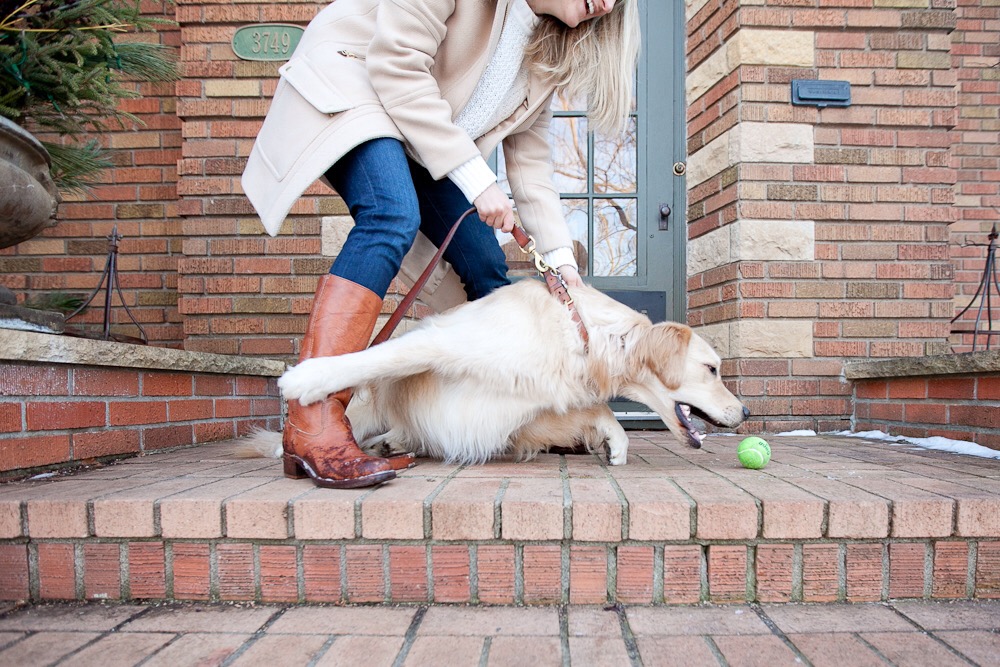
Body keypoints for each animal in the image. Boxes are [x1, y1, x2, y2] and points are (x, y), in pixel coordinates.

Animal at [270, 278, 748, 464]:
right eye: (712, 369)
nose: (745, 412)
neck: (579, 335)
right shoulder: (440, 340)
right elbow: (376, 359)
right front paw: (305, 377)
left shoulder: (515, 416)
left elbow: (598, 412)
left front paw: (615, 443)